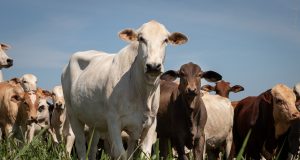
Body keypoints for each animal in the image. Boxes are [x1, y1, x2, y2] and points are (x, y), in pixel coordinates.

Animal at [61, 20, 188, 159]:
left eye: (165, 40)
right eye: (141, 38)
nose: (153, 66)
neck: (142, 93)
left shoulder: (150, 124)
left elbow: (143, 153)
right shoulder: (114, 122)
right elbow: (120, 153)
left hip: (95, 123)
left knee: (92, 148)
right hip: (73, 115)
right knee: (80, 146)